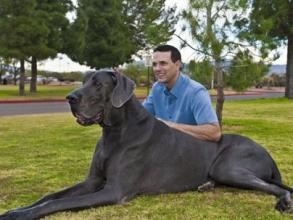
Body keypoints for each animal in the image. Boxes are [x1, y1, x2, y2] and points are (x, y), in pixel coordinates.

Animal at [0, 70, 292, 218]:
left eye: (97, 84)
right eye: (82, 81)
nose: (70, 97)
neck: (114, 132)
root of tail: (268, 153)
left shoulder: (114, 190)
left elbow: (56, 205)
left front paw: (17, 216)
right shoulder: (93, 181)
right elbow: (49, 196)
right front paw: (17, 209)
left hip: (228, 167)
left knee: (277, 188)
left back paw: (283, 202)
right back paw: (206, 185)